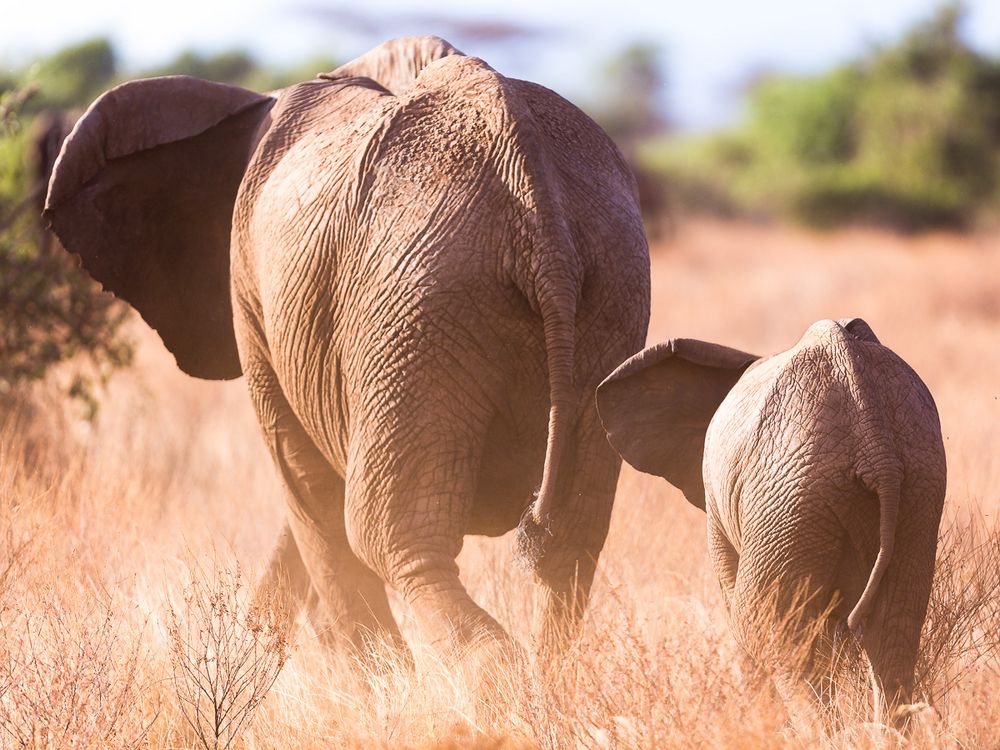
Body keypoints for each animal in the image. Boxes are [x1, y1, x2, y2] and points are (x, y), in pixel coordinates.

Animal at [45, 38, 648, 664]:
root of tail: (533, 185)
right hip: (607, 288)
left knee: (391, 536)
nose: (249, 635)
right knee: (572, 539)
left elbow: (304, 482)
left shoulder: (253, 294)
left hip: (418, 298)